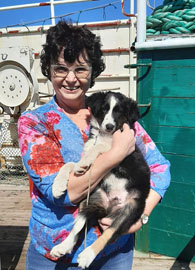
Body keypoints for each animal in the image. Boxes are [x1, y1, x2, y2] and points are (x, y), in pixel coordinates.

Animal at [51, 92, 150, 268]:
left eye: (119, 111)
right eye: (104, 109)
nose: (109, 126)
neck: (104, 135)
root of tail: (109, 209)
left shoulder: (120, 149)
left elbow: (99, 147)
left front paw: (83, 162)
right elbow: (69, 165)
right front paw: (58, 187)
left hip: (130, 209)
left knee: (109, 233)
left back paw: (87, 255)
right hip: (91, 200)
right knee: (78, 226)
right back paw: (62, 247)